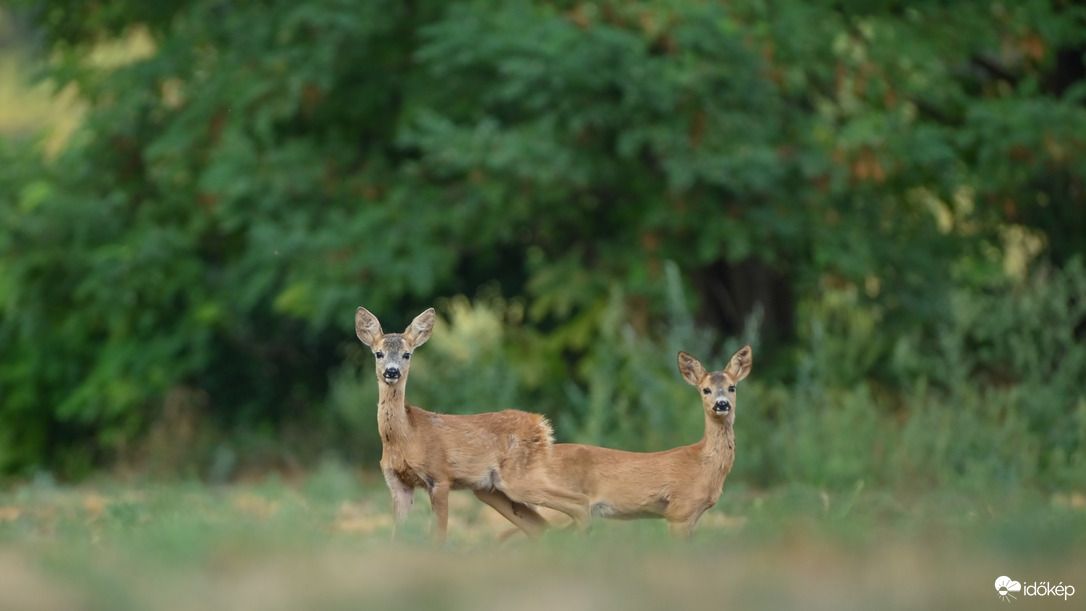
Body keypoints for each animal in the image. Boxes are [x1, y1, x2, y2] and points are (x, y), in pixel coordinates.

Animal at [356, 308, 590, 542]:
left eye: (407, 354)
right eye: (378, 353)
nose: (392, 371)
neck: (406, 438)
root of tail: (542, 425)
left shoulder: (440, 476)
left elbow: (438, 537)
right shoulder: (397, 483)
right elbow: (396, 537)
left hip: (520, 477)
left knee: (580, 502)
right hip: (491, 489)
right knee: (541, 526)